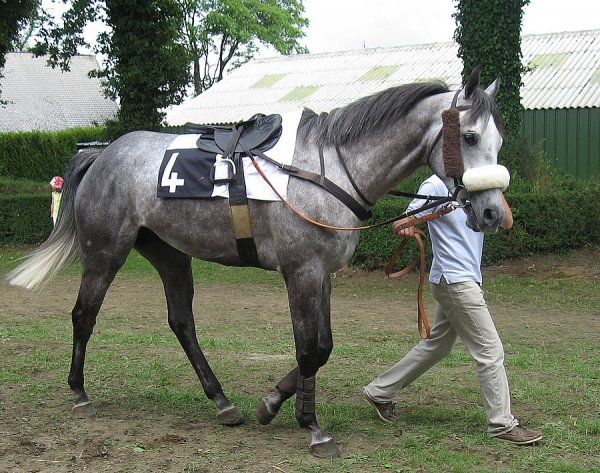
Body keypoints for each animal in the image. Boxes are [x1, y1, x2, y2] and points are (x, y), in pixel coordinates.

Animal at [8, 68, 506, 456]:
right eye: (469, 136)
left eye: (499, 140)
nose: (493, 213)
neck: (326, 169)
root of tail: (102, 154)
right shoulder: (301, 272)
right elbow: (310, 350)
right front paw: (312, 428)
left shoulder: (323, 274)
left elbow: (324, 347)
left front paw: (272, 404)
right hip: (105, 252)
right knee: (83, 315)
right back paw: (79, 393)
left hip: (170, 254)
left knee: (181, 321)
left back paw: (222, 402)